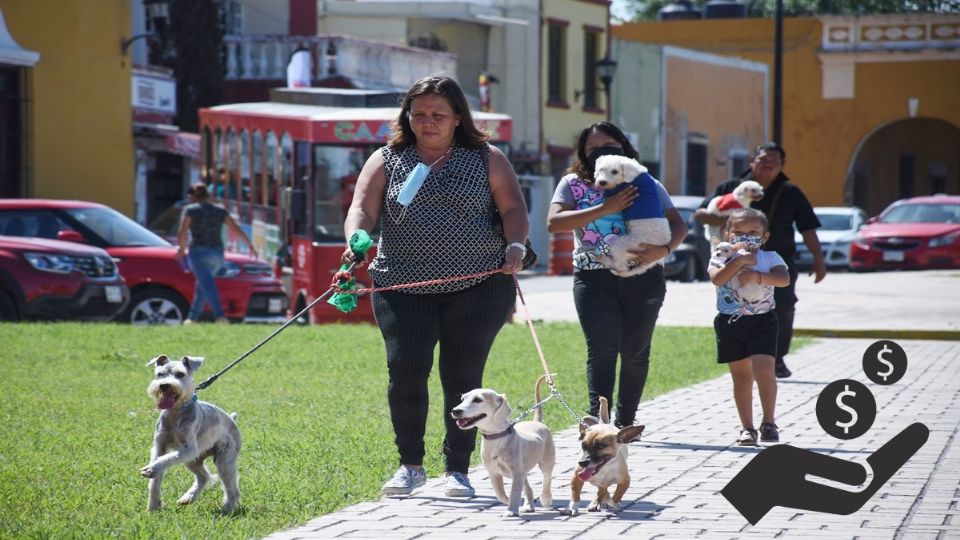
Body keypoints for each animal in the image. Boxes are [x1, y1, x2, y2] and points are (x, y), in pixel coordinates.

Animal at [144, 356, 246, 512]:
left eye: (180, 374)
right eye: (159, 374)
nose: (164, 385)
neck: (176, 413)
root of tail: (231, 419)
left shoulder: (189, 448)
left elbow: (166, 459)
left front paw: (151, 468)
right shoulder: (160, 446)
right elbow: (156, 477)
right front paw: (154, 506)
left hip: (224, 461)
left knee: (232, 488)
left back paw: (227, 509)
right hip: (192, 460)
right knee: (204, 477)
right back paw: (188, 498)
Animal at [450, 374, 556, 516]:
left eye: (477, 400)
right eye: (462, 399)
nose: (455, 411)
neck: (496, 437)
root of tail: (536, 422)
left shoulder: (516, 472)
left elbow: (514, 492)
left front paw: (511, 510)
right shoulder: (494, 473)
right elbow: (500, 494)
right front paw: (512, 503)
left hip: (546, 460)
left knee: (547, 479)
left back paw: (545, 499)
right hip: (522, 470)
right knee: (527, 486)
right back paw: (528, 505)